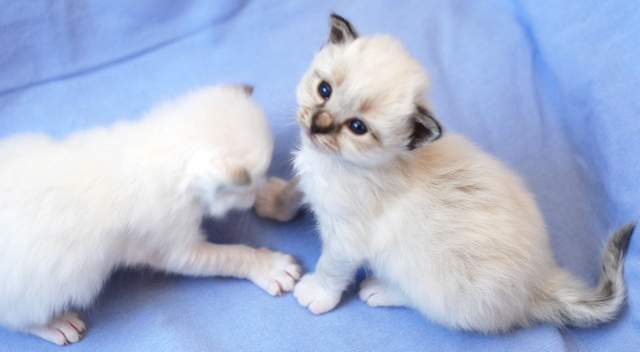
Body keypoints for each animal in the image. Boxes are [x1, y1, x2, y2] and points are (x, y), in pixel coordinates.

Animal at [0, 84, 300, 344]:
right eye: (254, 182)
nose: (259, 191)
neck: (164, 147)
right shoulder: (174, 248)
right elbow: (234, 255)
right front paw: (269, 266)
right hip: (42, 292)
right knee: (16, 321)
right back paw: (55, 324)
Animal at [252, 13, 632, 332]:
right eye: (324, 90)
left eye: (357, 127)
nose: (318, 124)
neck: (337, 163)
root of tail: (538, 283)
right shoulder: (311, 176)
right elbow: (292, 190)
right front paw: (270, 202)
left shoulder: (347, 240)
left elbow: (331, 268)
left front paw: (315, 294)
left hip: (425, 276)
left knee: (428, 304)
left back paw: (380, 290)